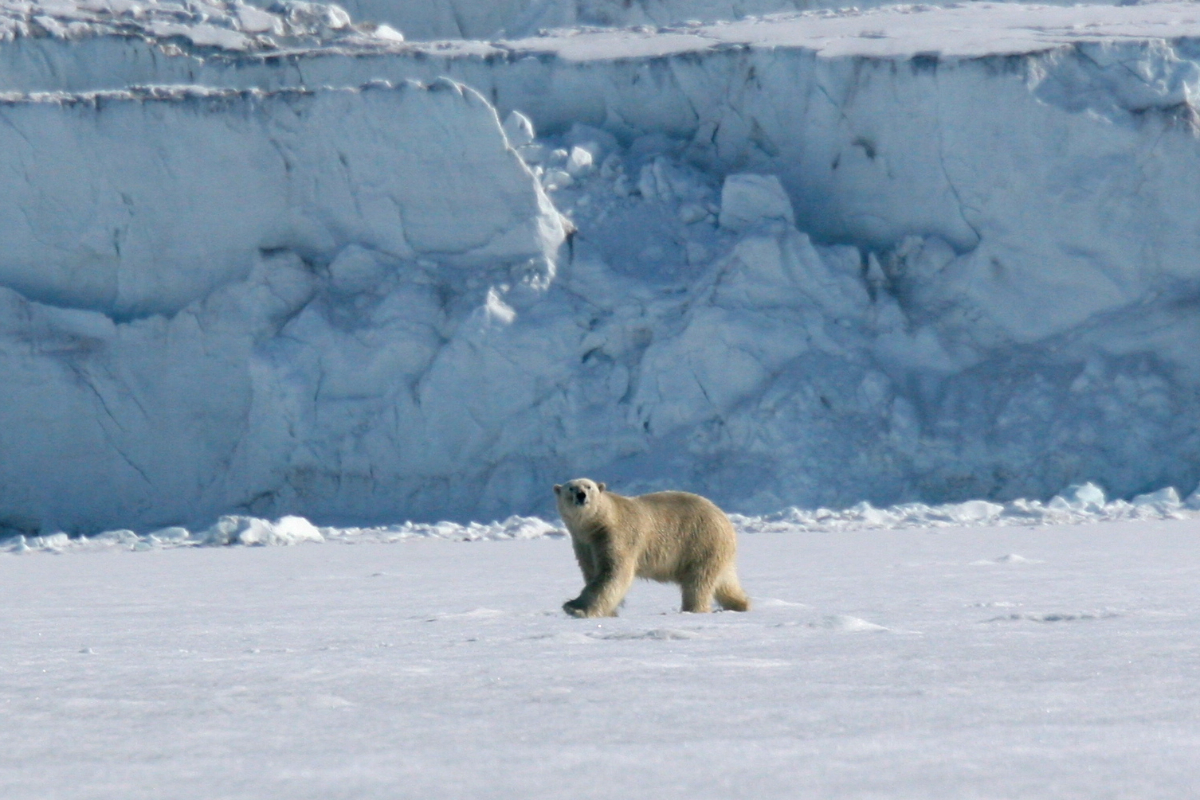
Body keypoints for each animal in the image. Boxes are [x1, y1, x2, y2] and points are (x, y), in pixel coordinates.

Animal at [553, 478, 750, 618]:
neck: (599, 522)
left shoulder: (616, 535)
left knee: (698, 581)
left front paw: (575, 608)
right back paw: (741, 604)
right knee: (725, 580)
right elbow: (591, 571)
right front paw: (608, 612)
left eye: (589, 487)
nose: (581, 495)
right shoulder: (584, 543)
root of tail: (724, 519)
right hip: (715, 549)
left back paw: (693, 609)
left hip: (701, 542)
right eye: (570, 488)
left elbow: (613, 573)